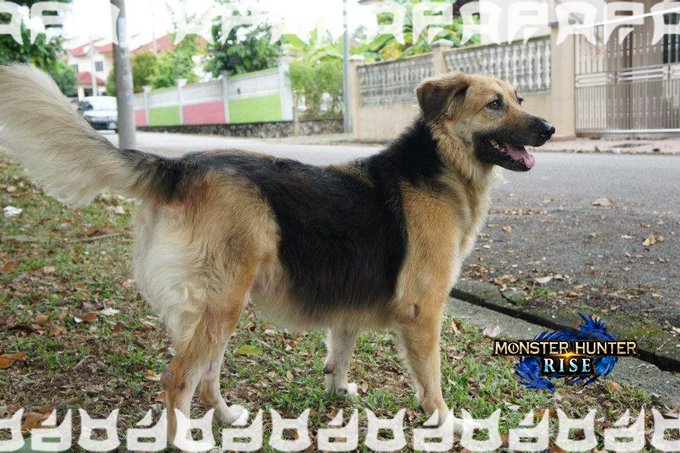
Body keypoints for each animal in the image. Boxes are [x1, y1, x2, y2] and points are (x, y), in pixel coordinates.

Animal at [0, 64, 554, 443]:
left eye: (519, 98)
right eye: (494, 105)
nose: (548, 129)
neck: (439, 165)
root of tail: (181, 167)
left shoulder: (348, 302)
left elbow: (339, 353)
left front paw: (337, 393)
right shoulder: (423, 313)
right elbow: (432, 382)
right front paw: (446, 421)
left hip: (219, 306)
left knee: (205, 376)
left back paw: (227, 417)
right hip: (222, 303)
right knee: (179, 377)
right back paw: (187, 440)